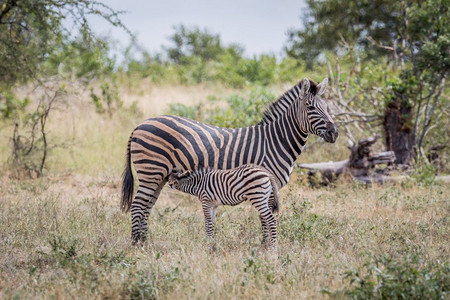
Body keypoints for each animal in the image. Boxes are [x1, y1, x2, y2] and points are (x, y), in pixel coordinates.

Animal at [121, 78, 340, 244]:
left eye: (327, 107)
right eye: (310, 107)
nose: (334, 133)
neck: (276, 141)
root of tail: (140, 124)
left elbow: (265, 217)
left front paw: (265, 245)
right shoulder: (267, 183)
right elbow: (265, 218)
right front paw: (266, 247)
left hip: (160, 176)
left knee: (146, 207)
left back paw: (145, 242)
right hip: (151, 172)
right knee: (138, 206)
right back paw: (136, 245)